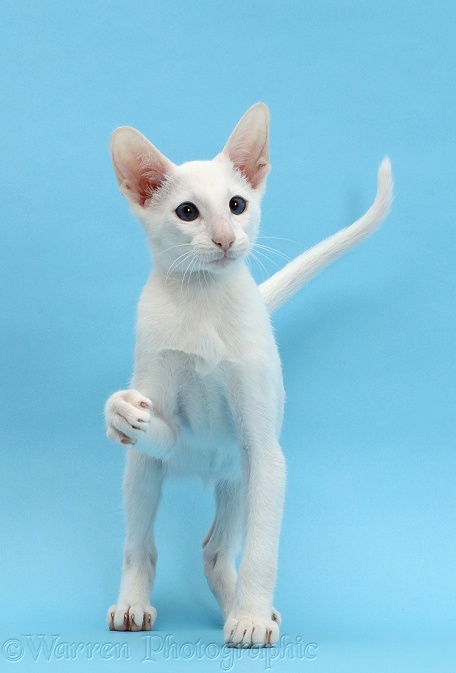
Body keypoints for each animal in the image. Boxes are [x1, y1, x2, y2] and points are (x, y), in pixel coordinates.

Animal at [103, 103, 392, 644]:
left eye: (237, 204)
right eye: (188, 212)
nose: (225, 239)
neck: (203, 302)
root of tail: (203, 465)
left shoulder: (264, 452)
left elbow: (261, 549)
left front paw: (252, 618)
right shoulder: (162, 399)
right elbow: (149, 421)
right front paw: (122, 412)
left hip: (238, 477)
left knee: (216, 552)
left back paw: (242, 608)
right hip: (148, 470)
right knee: (141, 544)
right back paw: (132, 603)